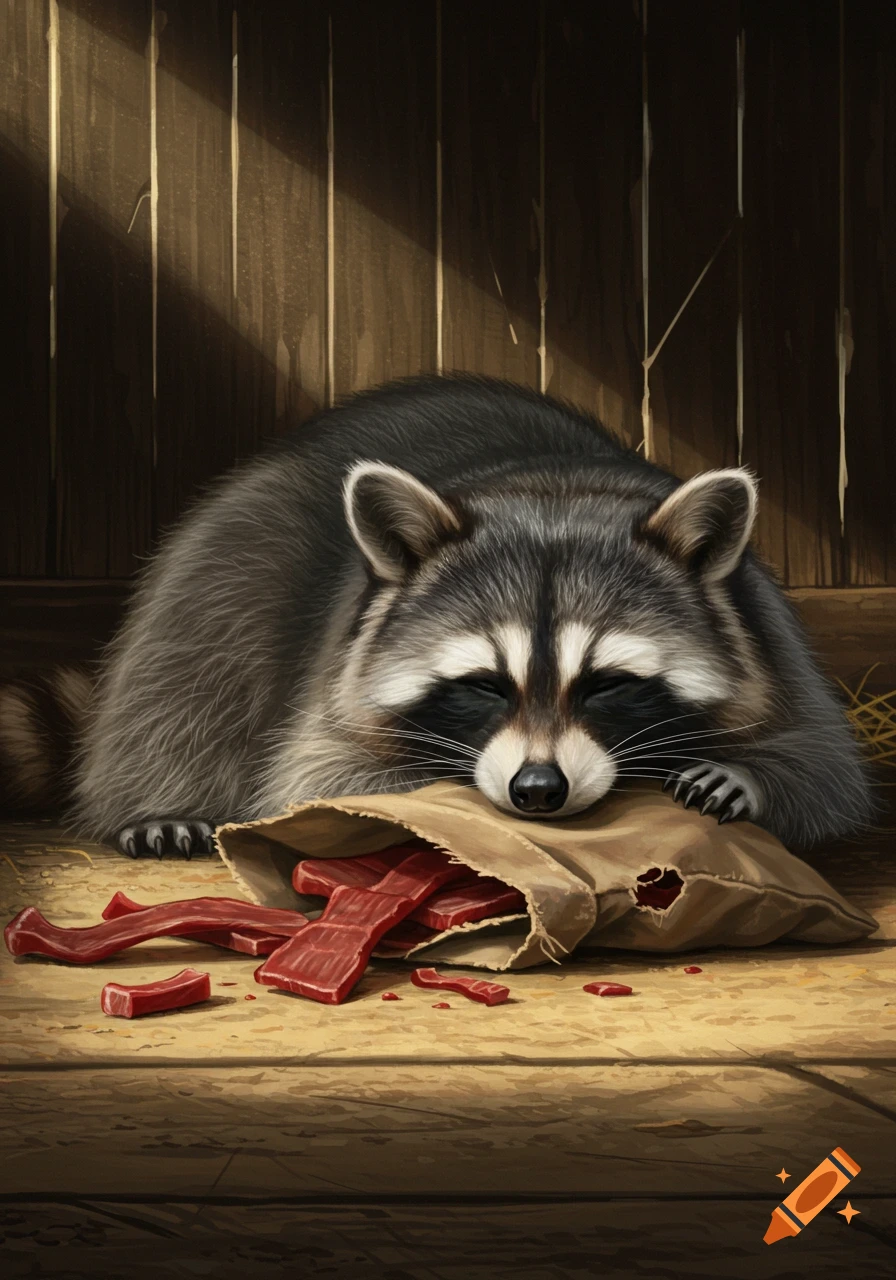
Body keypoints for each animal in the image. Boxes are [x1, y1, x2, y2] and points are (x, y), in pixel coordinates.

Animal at [2, 374, 877, 857]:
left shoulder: (763, 630)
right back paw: (160, 797)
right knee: (192, 664)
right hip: (229, 554)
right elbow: (316, 776)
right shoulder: (337, 671)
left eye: (606, 683)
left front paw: (749, 777)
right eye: (485, 684)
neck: (552, 491)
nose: (538, 790)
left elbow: (827, 769)